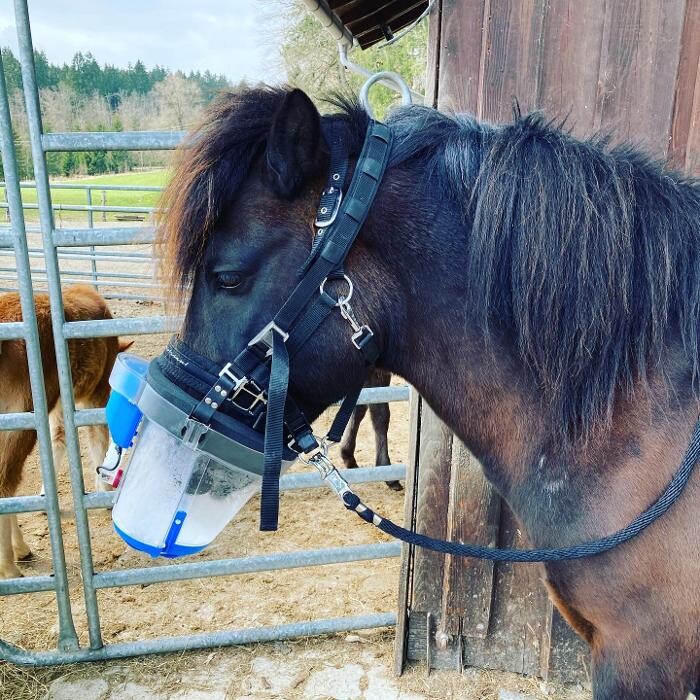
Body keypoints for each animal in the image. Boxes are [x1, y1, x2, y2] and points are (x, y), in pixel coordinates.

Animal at [0, 284, 131, 580]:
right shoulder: (96, 394)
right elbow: (98, 438)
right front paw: (104, 491)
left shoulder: (59, 404)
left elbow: (58, 439)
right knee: (6, 480)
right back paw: (10, 566)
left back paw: (20, 550)